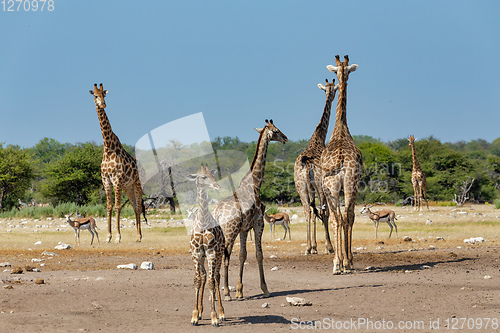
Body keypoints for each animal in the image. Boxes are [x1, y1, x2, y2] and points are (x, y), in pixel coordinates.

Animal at [89, 83, 145, 241]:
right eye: (96, 96)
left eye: (104, 95)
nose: (103, 104)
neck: (108, 148)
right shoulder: (106, 180)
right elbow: (109, 207)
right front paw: (108, 236)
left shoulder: (117, 180)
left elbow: (117, 207)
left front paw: (118, 237)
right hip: (128, 187)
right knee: (134, 206)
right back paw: (137, 236)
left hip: (137, 184)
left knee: (139, 207)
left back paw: (139, 236)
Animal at [212, 120, 290, 300]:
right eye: (276, 130)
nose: (285, 138)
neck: (255, 183)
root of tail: (217, 213)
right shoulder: (259, 223)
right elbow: (259, 255)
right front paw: (265, 289)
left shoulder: (244, 229)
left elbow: (243, 255)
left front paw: (240, 290)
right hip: (229, 232)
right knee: (224, 257)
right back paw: (225, 293)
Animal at [292, 78, 340, 254]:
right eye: (333, 90)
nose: (332, 95)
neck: (319, 137)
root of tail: (306, 164)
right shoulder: (320, 185)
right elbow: (323, 211)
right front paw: (326, 246)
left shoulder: (309, 187)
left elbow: (312, 212)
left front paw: (313, 246)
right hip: (319, 185)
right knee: (322, 211)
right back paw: (329, 246)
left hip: (300, 186)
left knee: (308, 210)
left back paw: (308, 247)